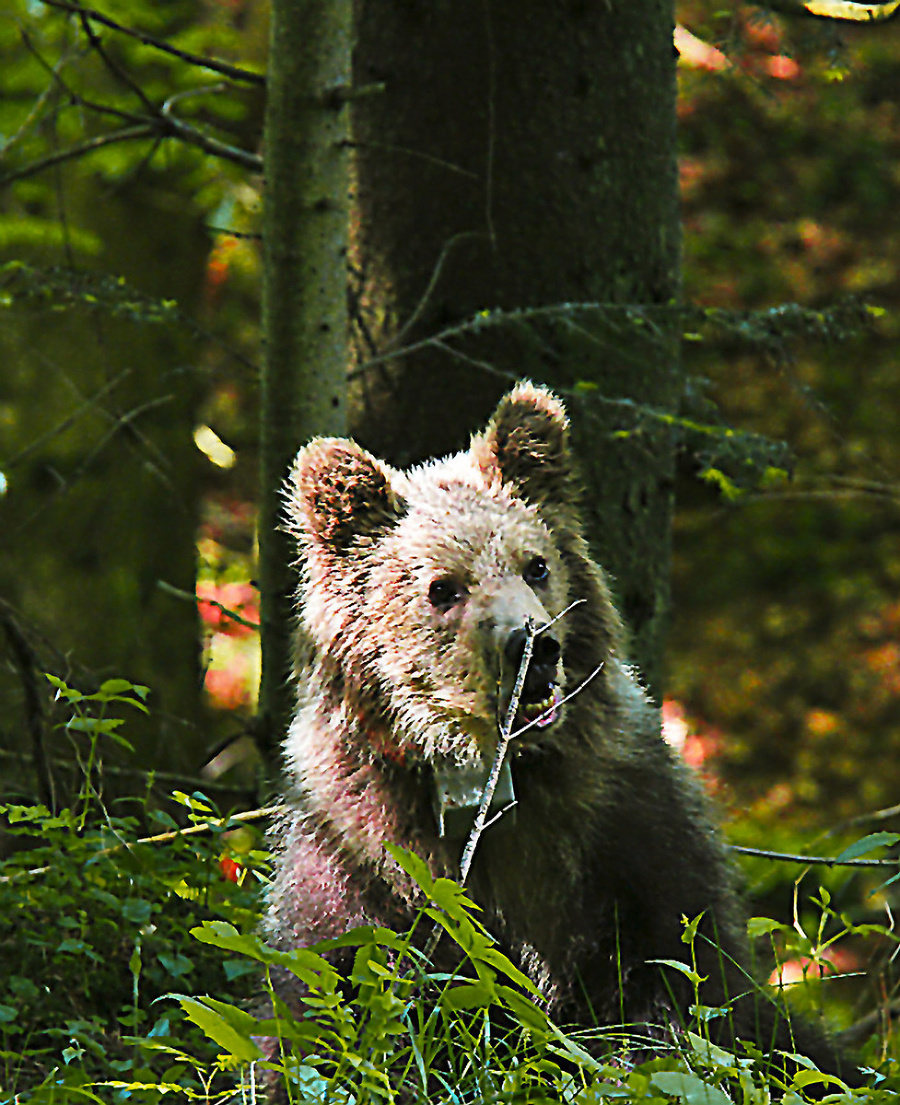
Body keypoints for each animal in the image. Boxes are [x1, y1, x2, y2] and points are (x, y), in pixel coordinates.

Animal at [264, 384, 857, 1082]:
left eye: (536, 565)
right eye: (443, 586)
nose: (534, 645)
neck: (490, 771)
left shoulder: (620, 831)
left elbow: (681, 978)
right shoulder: (361, 849)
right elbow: (332, 990)